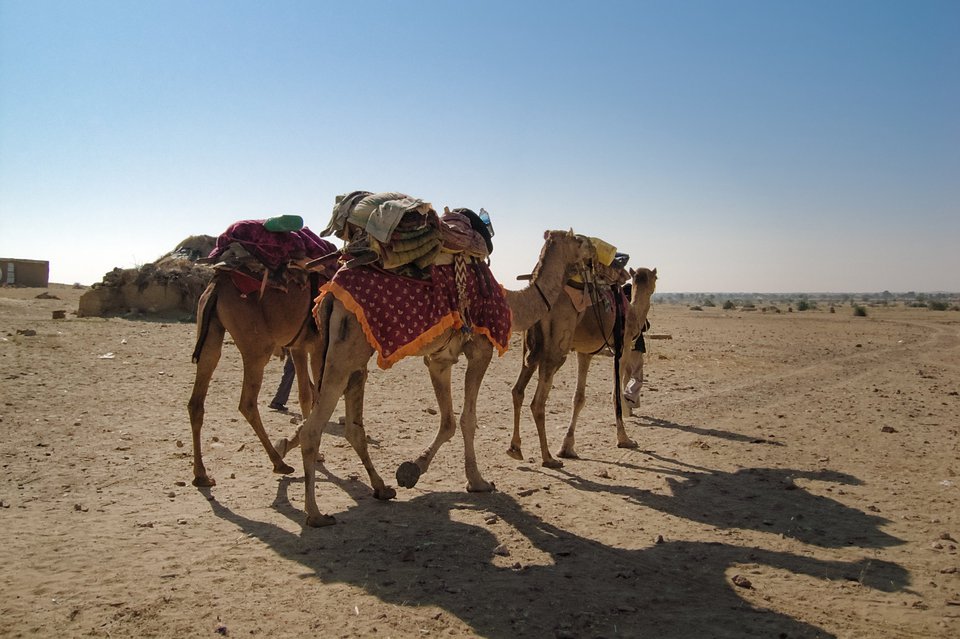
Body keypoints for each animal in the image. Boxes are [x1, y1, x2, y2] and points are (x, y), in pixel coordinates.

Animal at [294, 230, 594, 526]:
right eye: (579, 240)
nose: (592, 250)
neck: (512, 304)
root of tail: (330, 295)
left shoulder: (440, 359)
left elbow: (448, 421)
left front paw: (412, 470)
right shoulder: (480, 350)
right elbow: (467, 420)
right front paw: (478, 482)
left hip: (347, 353)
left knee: (352, 425)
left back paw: (381, 488)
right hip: (346, 350)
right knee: (313, 429)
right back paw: (315, 514)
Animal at [509, 267, 658, 468]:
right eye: (656, 278)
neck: (632, 312)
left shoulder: (585, 352)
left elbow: (579, 398)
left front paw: (567, 447)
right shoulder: (623, 347)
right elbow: (616, 393)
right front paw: (624, 439)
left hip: (530, 346)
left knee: (518, 390)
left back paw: (515, 449)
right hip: (555, 348)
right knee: (538, 402)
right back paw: (548, 457)